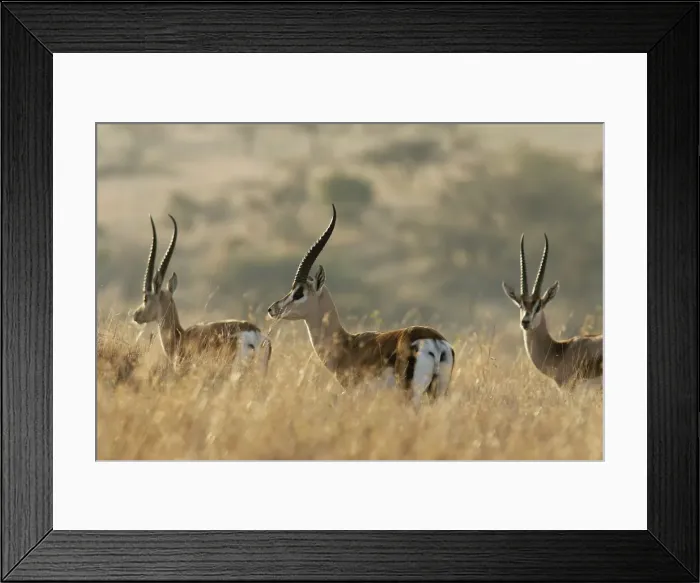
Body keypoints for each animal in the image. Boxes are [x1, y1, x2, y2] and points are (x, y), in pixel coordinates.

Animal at [266, 204, 455, 408]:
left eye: (299, 293)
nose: (273, 309)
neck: (348, 345)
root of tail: (434, 341)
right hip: (438, 393)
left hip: (412, 395)